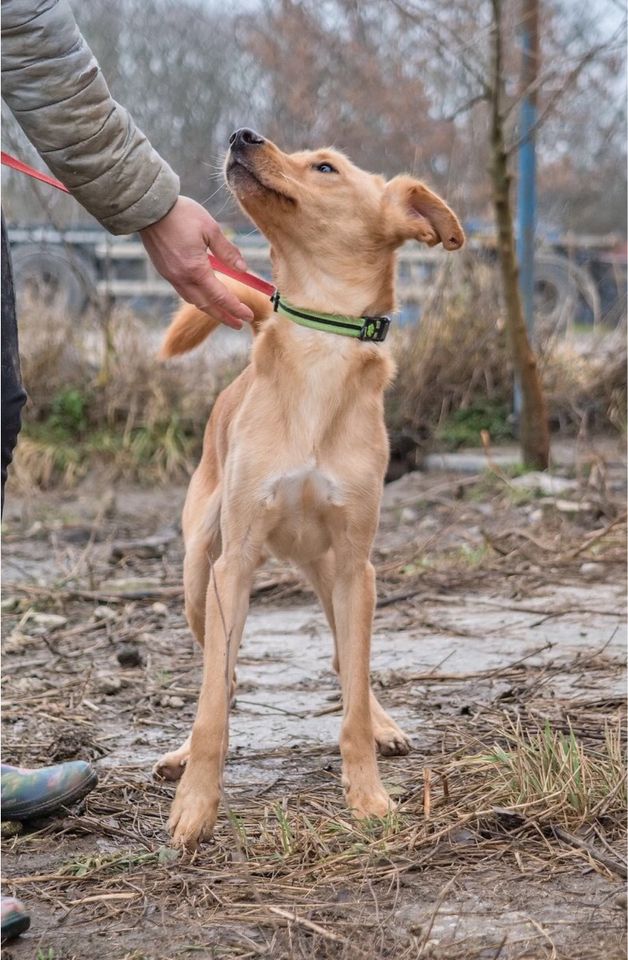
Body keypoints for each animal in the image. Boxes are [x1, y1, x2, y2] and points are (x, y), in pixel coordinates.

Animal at [155, 127, 464, 848]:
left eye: (324, 168)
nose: (242, 133)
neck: (321, 340)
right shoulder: (234, 564)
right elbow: (212, 704)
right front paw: (195, 807)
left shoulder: (355, 566)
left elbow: (350, 694)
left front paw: (368, 795)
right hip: (197, 573)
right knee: (222, 668)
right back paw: (181, 750)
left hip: (337, 579)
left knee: (346, 665)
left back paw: (382, 724)